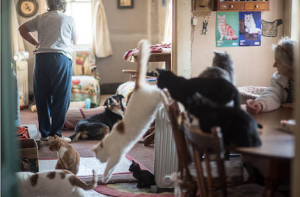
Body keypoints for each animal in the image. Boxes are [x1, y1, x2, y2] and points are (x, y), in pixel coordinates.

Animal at [91, 38, 169, 183]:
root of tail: (138, 87)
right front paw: (107, 178)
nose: (100, 161)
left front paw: (104, 178)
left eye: (99, 158)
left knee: (160, 91)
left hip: (153, 97)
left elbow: (109, 168)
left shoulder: (116, 155)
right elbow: (112, 169)